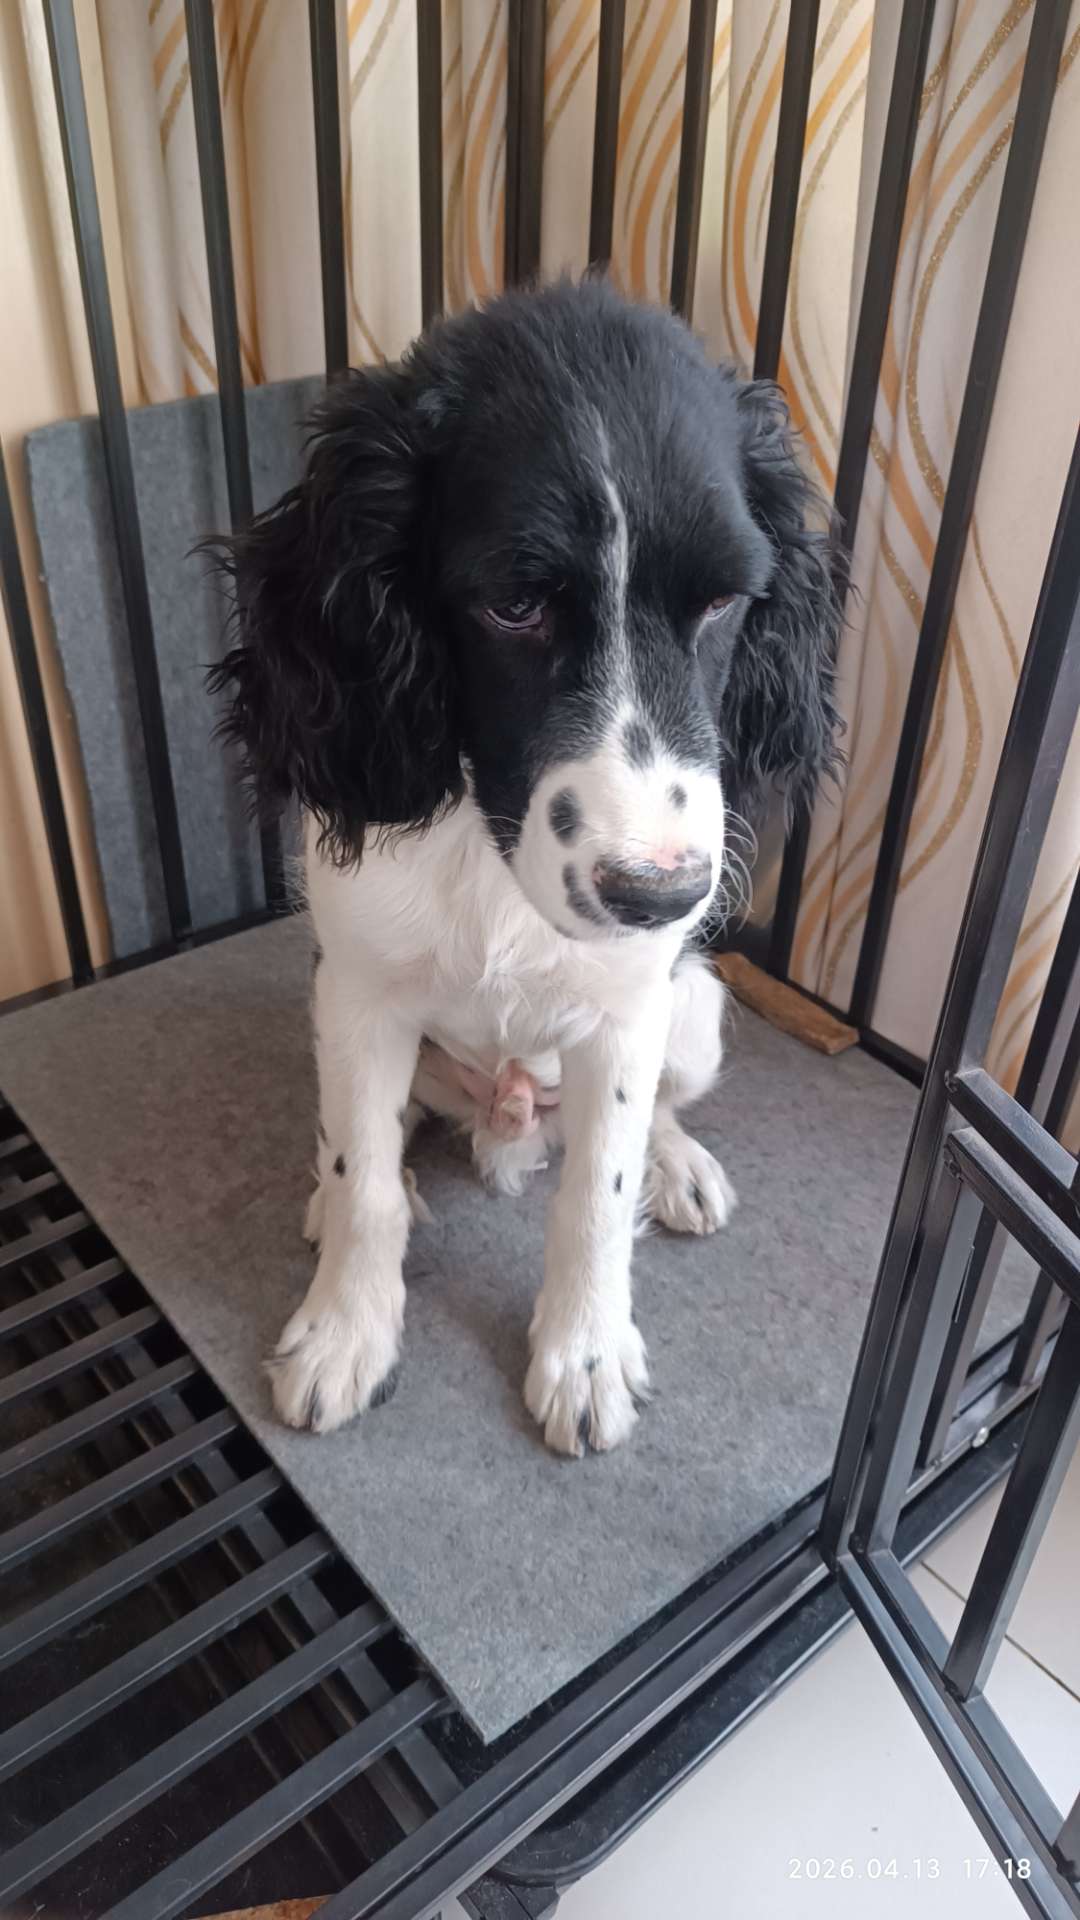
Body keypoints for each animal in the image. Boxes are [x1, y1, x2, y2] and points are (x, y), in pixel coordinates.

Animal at [209, 278, 842, 1457]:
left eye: (725, 603)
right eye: (514, 605)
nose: (661, 893)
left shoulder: (631, 1011)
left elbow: (598, 1191)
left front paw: (584, 1357)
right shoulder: (359, 993)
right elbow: (362, 1173)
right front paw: (344, 1331)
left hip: (695, 1013)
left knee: (652, 1114)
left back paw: (678, 1164)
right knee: (370, 1139)